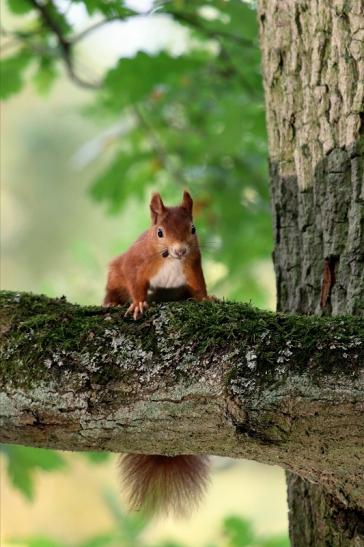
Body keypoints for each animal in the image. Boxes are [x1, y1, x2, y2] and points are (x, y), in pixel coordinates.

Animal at [104, 193, 212, 520]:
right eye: (160, 232)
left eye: (193, 228)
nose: (180, 250)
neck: (170, 260)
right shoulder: (135, 264)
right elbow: (135, 282)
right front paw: (139, 304)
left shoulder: (193, 264)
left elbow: (199, 285)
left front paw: (208, 298)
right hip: (115, 271)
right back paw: (111, 303)